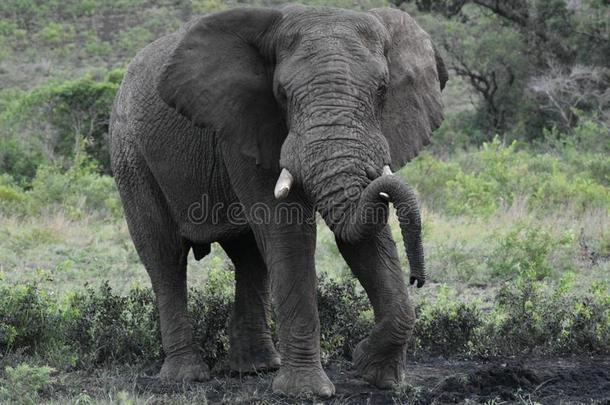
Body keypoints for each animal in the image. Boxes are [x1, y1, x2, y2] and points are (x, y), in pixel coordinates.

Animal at [108, 3, 442, 398]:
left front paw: (376, 374)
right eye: (281, 93)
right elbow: (290, 234)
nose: (417, 279)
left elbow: (364, 237)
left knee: (250, 257)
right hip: (130, 157)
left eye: (383, 90)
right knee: (166, 257)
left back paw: (256, 368)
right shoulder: (243, 126)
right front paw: (306, 392)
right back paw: (185, 377)